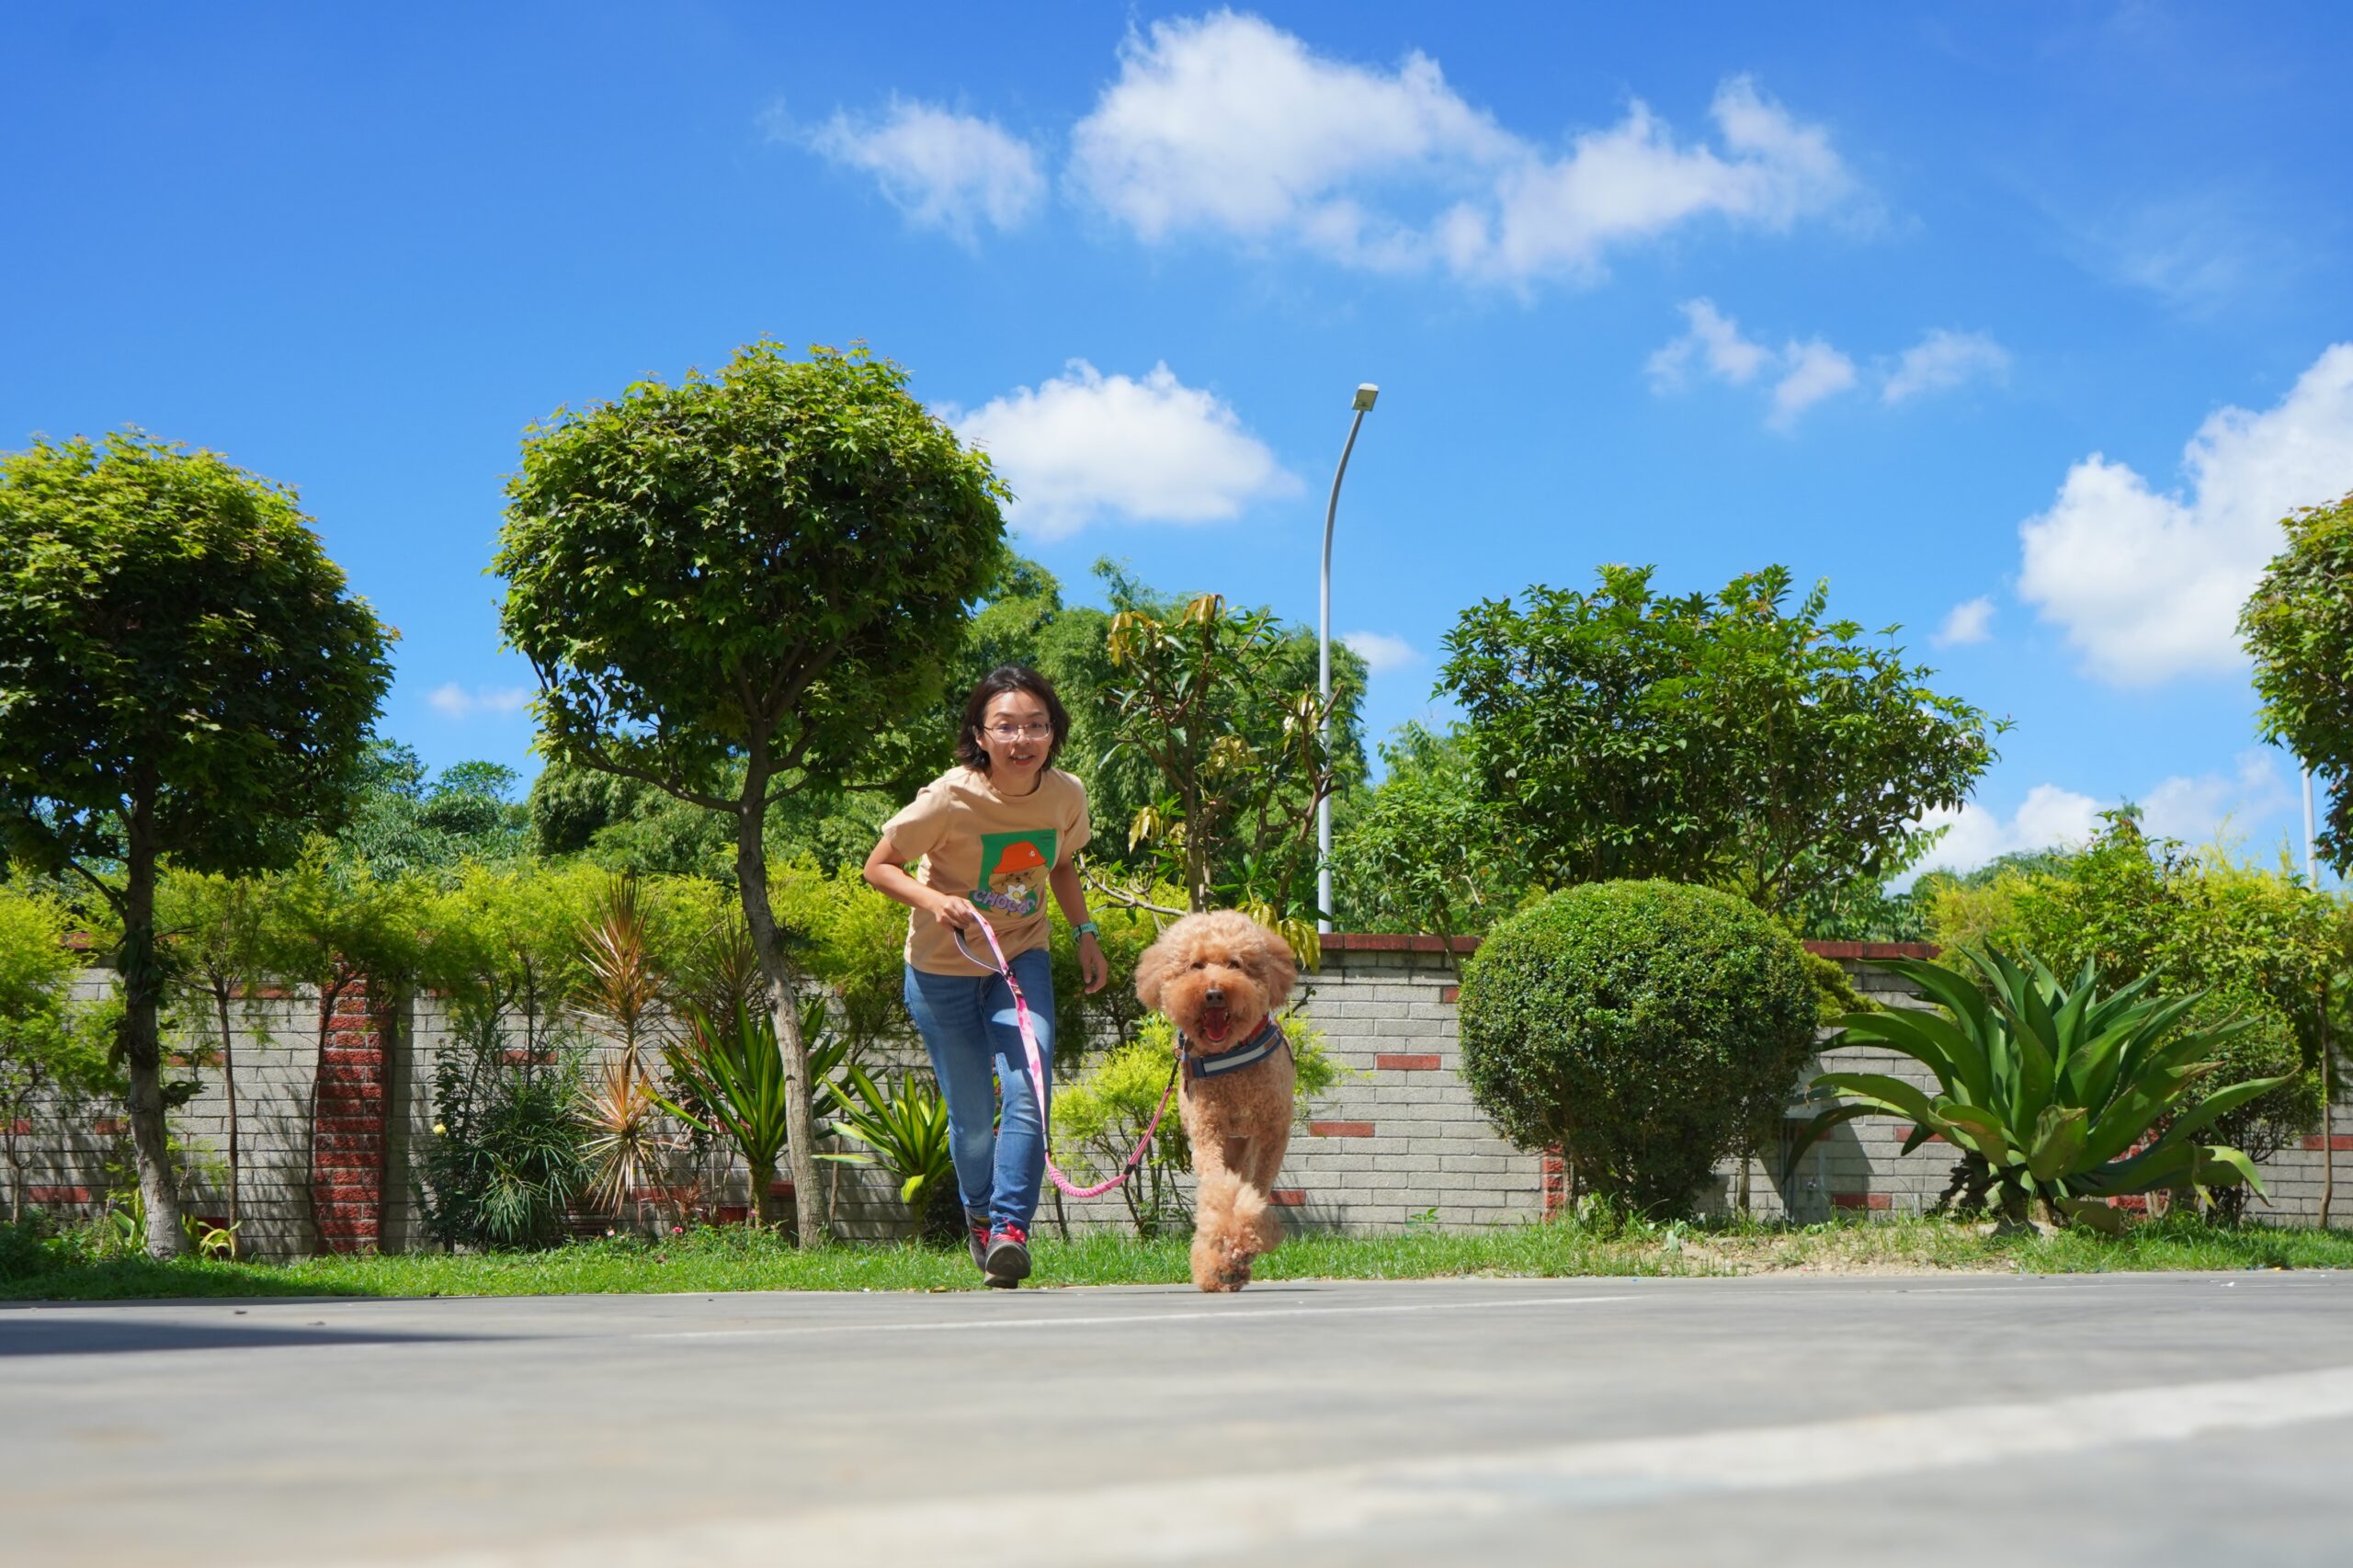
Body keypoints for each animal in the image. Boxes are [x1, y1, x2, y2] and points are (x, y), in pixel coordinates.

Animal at [1129, 908, 1299, 1290]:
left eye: (1235, 964)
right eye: (1196, 965)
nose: (1214, 994)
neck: (1231, 1057)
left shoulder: (1272, 1132)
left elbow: (1255, 1191)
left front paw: (1246, 1237)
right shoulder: (1207, 1130)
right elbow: (1218, 1192)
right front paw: (1224, 1250)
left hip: (1244, 1144)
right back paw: (1216, 1268)